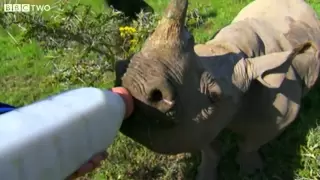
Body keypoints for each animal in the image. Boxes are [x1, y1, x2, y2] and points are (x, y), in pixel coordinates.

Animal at [115, 0, 320, 179]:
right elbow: (210, 150)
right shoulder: (202, 124)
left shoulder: (282, 115)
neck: (232, 47)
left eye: (215, 96)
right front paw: (204, 175)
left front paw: (251, 171)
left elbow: (250, 144)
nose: (135, 85)